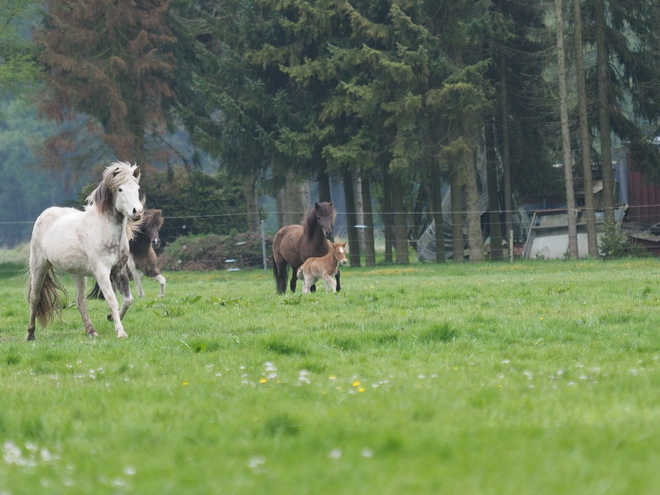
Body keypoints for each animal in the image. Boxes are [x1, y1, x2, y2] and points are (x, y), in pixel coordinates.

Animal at [27, 163, 144, 340]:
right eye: (120, 189)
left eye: (137, 188)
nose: (137, 212)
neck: (106, 230)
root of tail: (44, 214)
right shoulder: (102, 271)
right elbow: (112, 299)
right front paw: (121, 332)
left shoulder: (119, 270)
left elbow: (128, 300)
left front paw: (111, 317)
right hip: (39, 267)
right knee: (35, 298)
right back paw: (30, 334)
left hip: (78, 273)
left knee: (80, 300)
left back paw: (91, 331)